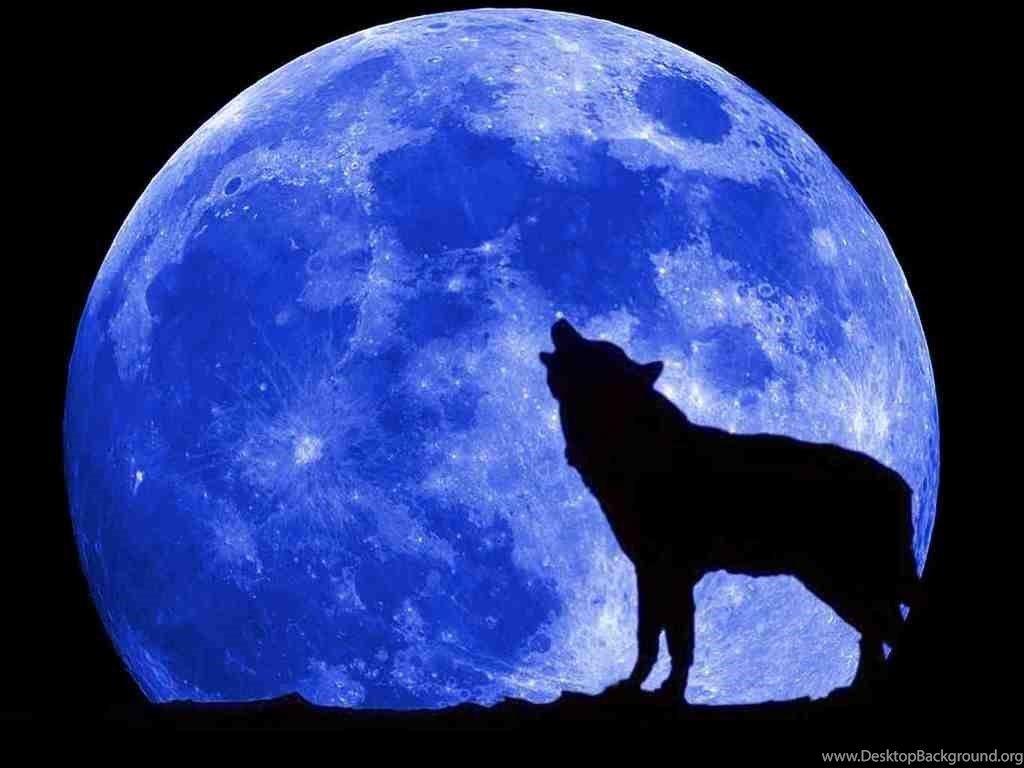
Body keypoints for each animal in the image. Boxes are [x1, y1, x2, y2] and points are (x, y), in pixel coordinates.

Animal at [539, 318, 918, 699]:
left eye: (597, 346)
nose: (560, 321)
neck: (632, 443)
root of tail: (902, 484)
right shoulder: (657, 573)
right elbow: (662, 640)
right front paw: (647, 686)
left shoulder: (667, 571)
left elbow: (669, 642)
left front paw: (661, 691)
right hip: (842, 586)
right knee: (874, 634)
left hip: (839, 583)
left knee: (883, 631)